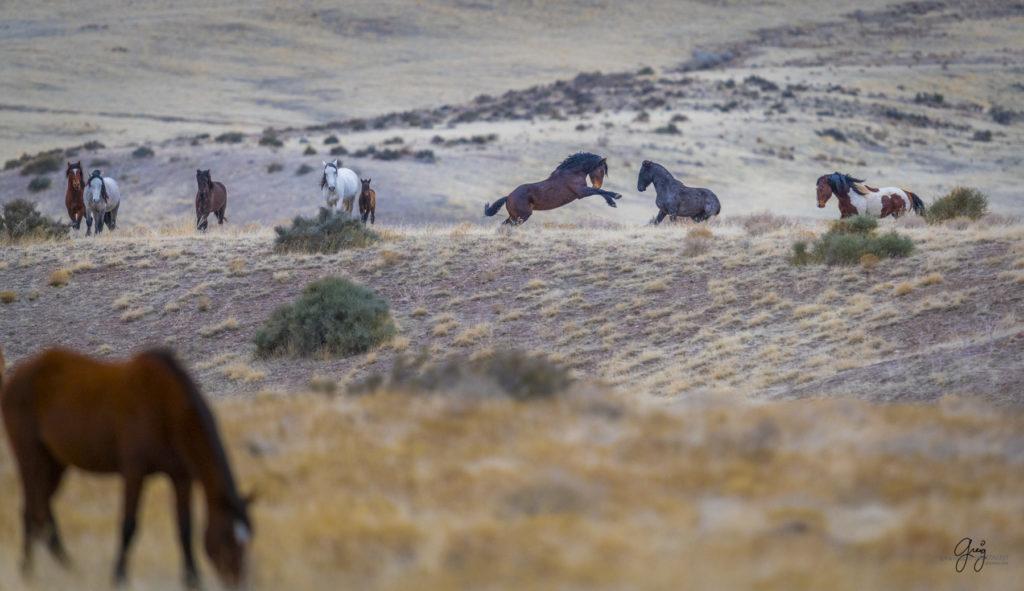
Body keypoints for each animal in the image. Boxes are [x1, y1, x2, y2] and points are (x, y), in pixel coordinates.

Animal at [1, 346, 252, 589]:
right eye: (227, 536)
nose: (237, 583)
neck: (165, 406)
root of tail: (14, 379)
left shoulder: (181, 478)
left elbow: (185, 528)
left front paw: (193, 580)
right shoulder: (134, 473)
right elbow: (129, 525)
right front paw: (118, 577)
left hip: (54, 464)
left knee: (41, 508)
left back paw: (67, 566)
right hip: (30, 459)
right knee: (30, 511)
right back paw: (28, 571)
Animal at [483, 150, 618, 224]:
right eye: (601, 170)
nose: (598, 184)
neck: (572, 172)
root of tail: (508, 197)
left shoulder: (583, 191)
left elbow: (599, 191)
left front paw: (613, 201)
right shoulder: (581, 192)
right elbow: (600, 191)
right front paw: (615, 198)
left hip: (515, 216)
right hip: (521, 216)